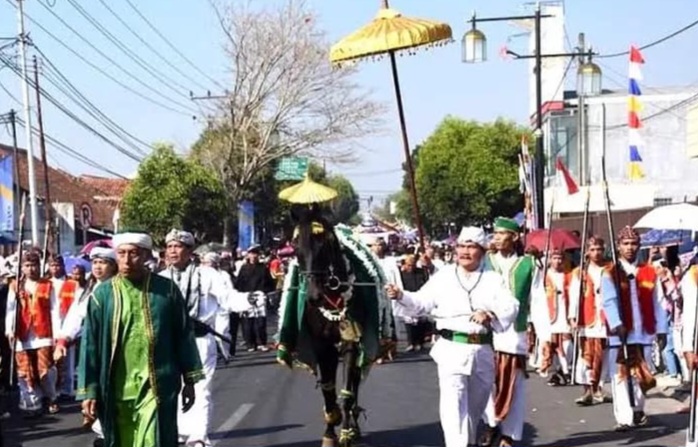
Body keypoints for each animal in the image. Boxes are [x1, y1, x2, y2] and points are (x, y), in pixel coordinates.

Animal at [290, 206, 364, 447]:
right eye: (295, 247)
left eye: (323, 244)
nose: (314, 296)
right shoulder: (322, 346)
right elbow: (328, 391)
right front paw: (330, 431)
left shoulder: (350, 342)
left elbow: (347, 392)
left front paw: (346, 432)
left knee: (355, 382)